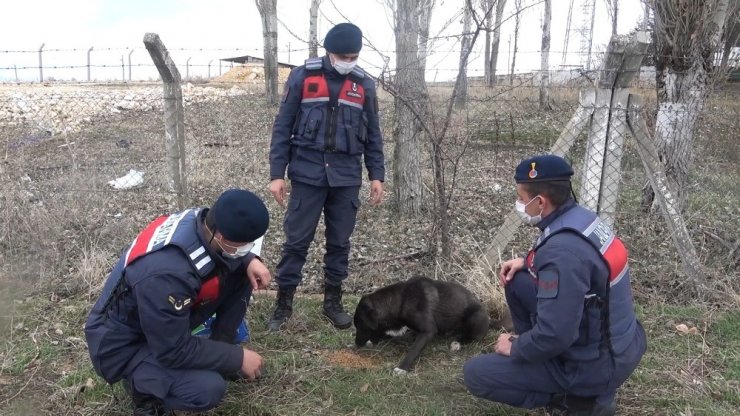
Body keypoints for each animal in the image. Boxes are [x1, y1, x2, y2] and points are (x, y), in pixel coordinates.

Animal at [354, 276, 492, 374]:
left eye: (360, 326)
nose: (356, 344)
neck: (402, 300)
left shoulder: (428, 331)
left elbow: (413, 350)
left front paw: (402, 368)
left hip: (475, 317)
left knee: (473, 337)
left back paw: (458, 342)